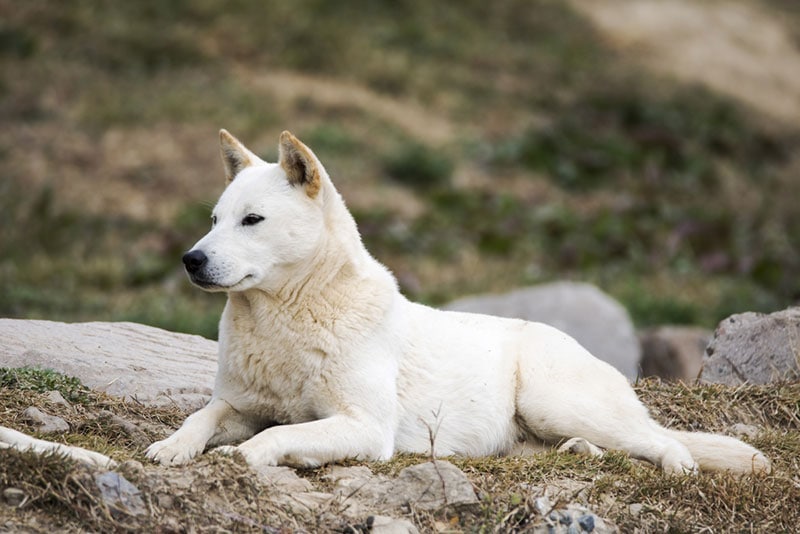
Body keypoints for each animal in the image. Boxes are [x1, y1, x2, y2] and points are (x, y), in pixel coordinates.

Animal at [147, 132, 772, 476]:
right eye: (214, 220)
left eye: (252, 220)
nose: (190, 259)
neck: (286, 319)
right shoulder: (238, 404)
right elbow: (202, 416)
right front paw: (172, 448)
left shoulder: (364, 428)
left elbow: (276, 437)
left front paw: (240, 458)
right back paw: (580, 453)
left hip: (554, 400)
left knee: (661, 439)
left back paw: (677, 463)